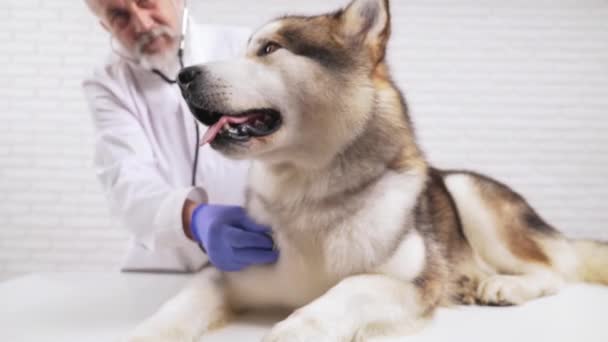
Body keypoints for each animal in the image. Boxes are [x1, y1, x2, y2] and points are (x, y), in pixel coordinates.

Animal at [128, 0, 608, 340]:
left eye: (269, 49)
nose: (185, 75)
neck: (308, 198)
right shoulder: (228, 270)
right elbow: (177, 306)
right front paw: (143, 333)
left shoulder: (412, 283)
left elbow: (348, 288)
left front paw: (294, 330)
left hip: (468, 192)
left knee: (554, 268)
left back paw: (502, 285)